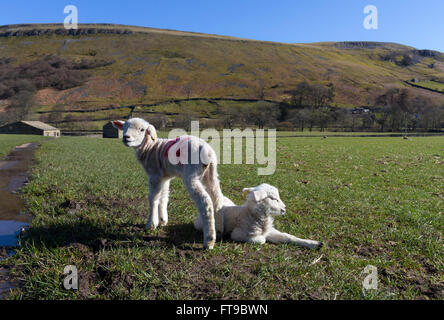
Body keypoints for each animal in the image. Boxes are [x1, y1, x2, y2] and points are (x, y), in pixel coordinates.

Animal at [112, 118, 224, 250]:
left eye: (142, 129)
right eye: (124, 127)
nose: (126, 137)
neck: (150, 148)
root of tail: (207, 151)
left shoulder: (154, 175)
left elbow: (153, 198)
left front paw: (151, 224)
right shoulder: (165, 177)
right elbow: (164, 197)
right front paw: (163, 220)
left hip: (191, 175)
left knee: (205, 201)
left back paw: (209, 241)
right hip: (211, 174)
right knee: (217, 197)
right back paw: (219, 230)